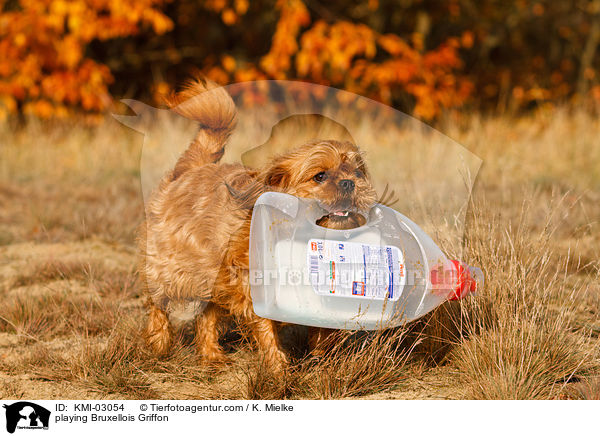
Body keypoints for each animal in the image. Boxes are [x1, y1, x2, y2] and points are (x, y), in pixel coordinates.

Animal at [139, 79, 376, 372]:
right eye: (319, 176)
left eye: (357, 173)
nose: (349, 182)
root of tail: (192, 169)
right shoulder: (254, 288)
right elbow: (266, 331)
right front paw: (277, 368)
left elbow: (321, 331)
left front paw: (322, 361)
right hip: (171, 269)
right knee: (158, 302)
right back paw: (159, 343)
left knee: (206, 316)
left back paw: (211, 355)